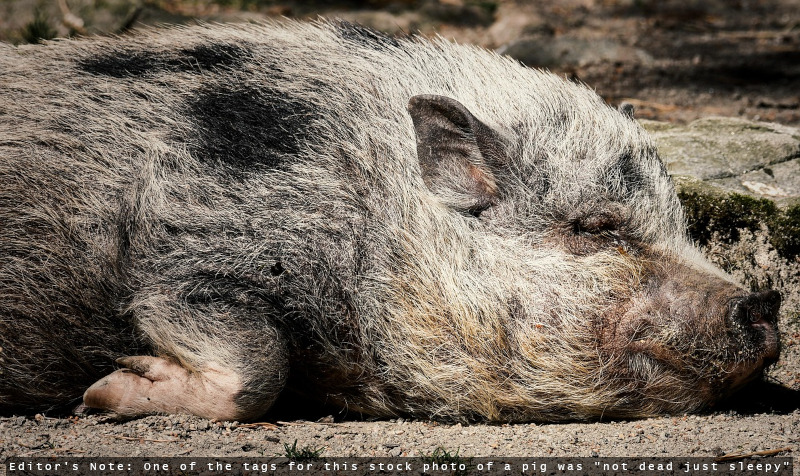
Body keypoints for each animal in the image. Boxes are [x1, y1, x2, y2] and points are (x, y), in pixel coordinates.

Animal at [0, 20, 781, 422]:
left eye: (681, 223)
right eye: (594, 227)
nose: (764, 300)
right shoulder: (188, 254)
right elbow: (258, 361)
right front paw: (101, 394)